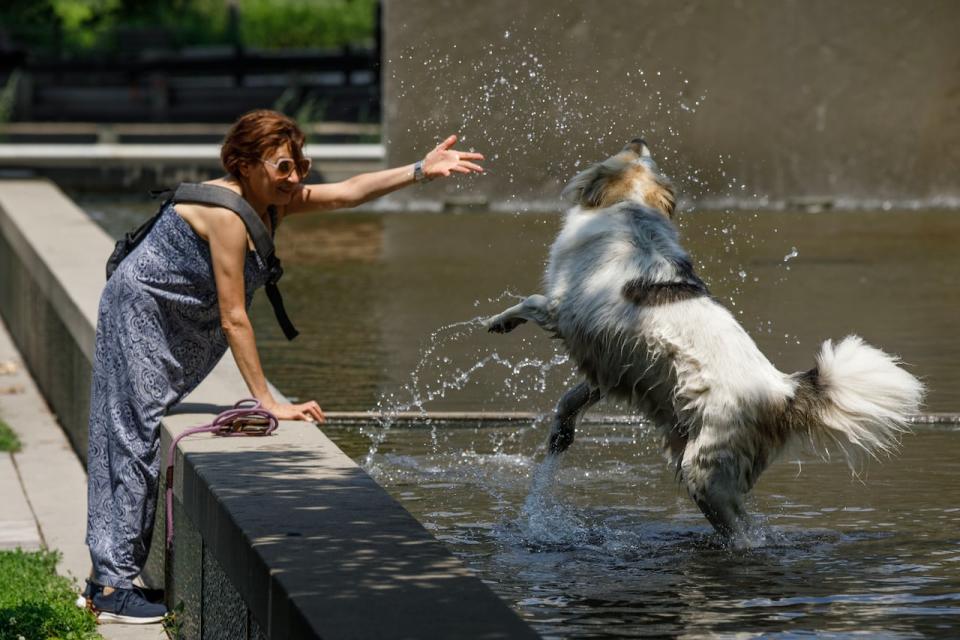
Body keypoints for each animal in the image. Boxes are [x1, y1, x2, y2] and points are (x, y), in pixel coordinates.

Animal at [488, 140, 924, 540]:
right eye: (641, 155)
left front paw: (499, 322)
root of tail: (784, 391)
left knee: (742, 535)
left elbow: (530, 302)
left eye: (630, 154)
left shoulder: (563, 312)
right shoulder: (613, 365)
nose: (638, 139)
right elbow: (571, 400)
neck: (632, 209)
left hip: (703, 470)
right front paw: (561, 434)